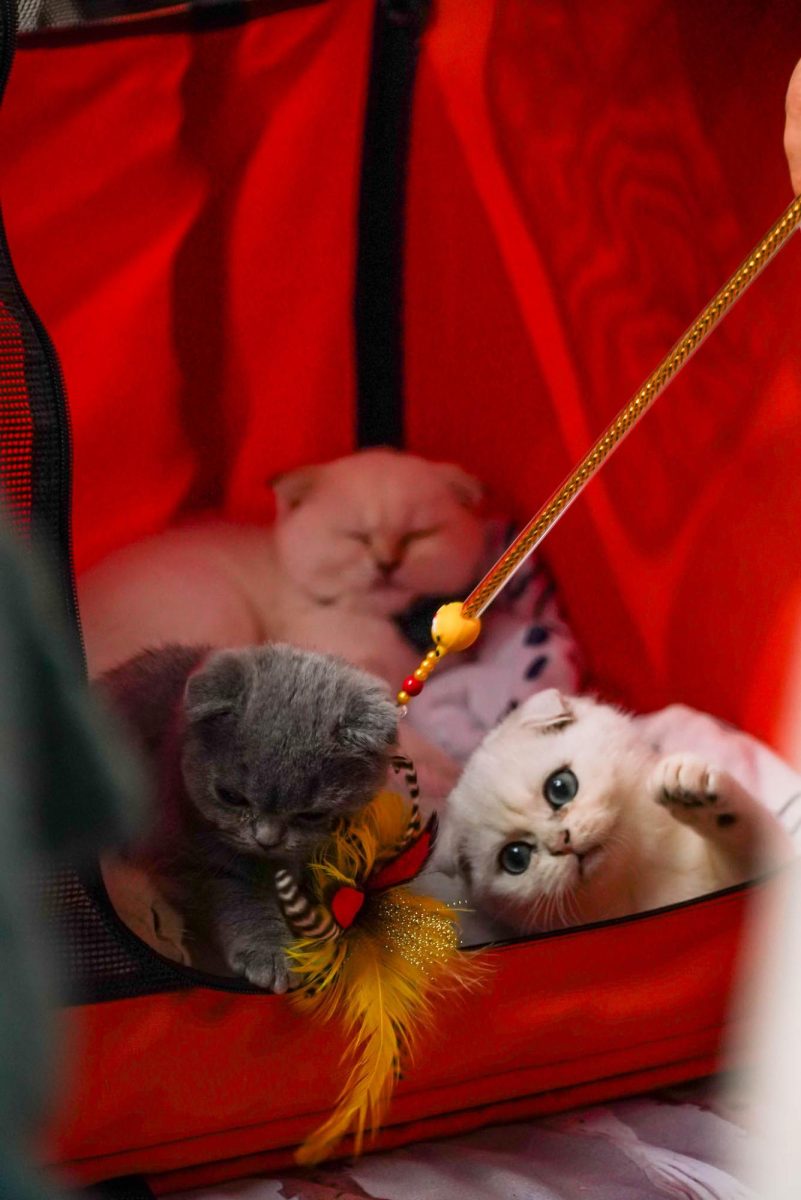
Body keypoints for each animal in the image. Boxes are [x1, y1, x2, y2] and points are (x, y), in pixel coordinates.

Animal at [98, 643, 398, 988]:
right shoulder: (194, 858)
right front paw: (272, 953)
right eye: (231, 797)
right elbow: (241, 896)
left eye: (313, 814)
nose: (266, 839)